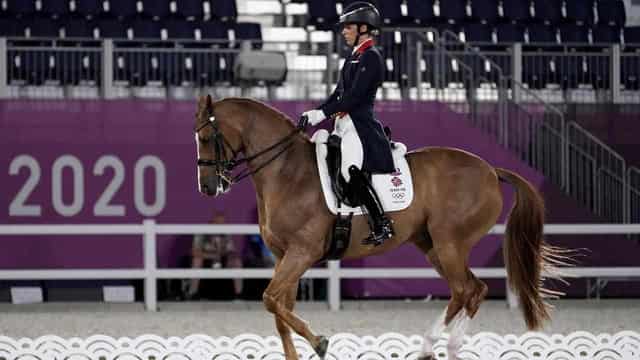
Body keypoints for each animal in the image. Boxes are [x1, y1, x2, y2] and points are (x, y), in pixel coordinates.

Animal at [192, 95, 568, 360]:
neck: (287, 172)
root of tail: (490, 169)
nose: (208, 188)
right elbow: (279, 311)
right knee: (471, 290)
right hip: (432, 246)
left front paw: (321, 343)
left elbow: (271, 300)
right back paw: (442, 348)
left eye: (208, 137)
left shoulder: (302, 253)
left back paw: (434, 346)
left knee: (467, 290)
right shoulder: (284, 256)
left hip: (450, 243)